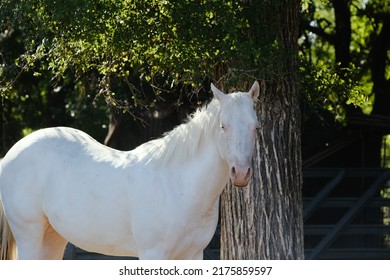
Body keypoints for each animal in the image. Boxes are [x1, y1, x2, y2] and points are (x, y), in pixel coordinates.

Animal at [1, 82, 260, 260]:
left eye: (256, 127)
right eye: (223, 126)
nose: (241, 173)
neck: (178, 186)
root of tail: (11, 154)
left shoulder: (194, 255)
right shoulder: (153, 255)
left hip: (53, 237)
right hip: (29, 235)